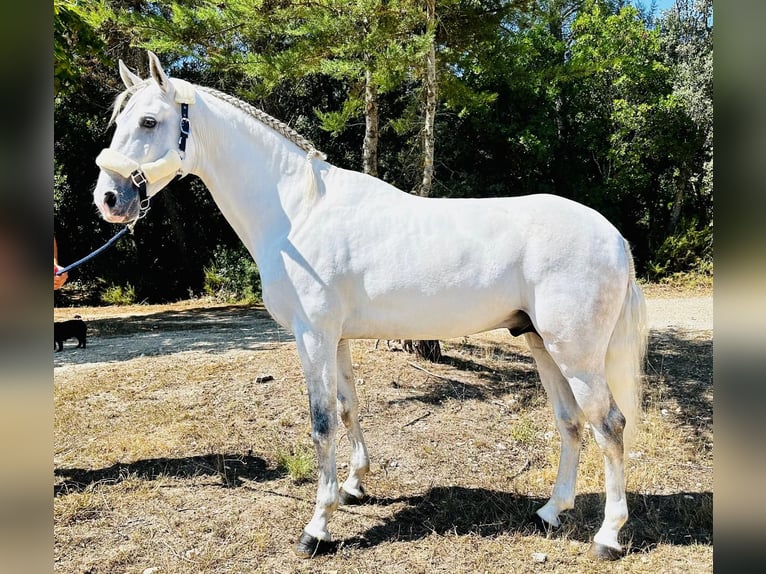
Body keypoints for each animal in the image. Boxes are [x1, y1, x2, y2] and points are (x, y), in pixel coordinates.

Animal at [94, 51, 648, 560]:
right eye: (119, 122)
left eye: (149, 121)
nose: (108, 199)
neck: (298, 212)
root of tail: (614, 236)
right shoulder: (335, 338)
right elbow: (346, 407)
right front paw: (353, 486)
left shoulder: (313, 335)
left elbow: (320, 422)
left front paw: (317, 527)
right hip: (540, 343)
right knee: (571, 422)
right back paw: (551, 511)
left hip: (575, 353)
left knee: (609, 425)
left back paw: (607, 537)